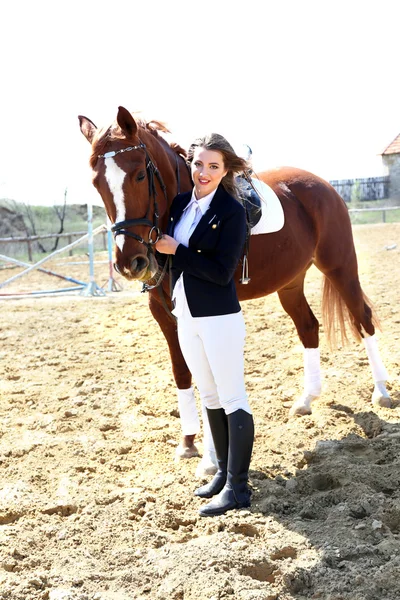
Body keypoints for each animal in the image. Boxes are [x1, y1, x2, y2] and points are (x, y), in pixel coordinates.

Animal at [78, 105, 390, 474]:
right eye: (97, 183)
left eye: (140, 175)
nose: (130, 262)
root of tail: (321, 185)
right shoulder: (165, 313)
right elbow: (182, 372)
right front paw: (187, 443)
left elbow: (209, 378)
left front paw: (212, 458)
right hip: (290, 283)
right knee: (308, 327)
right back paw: (306, 399)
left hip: (340, 267)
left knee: (363, 318)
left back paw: (381, 392)